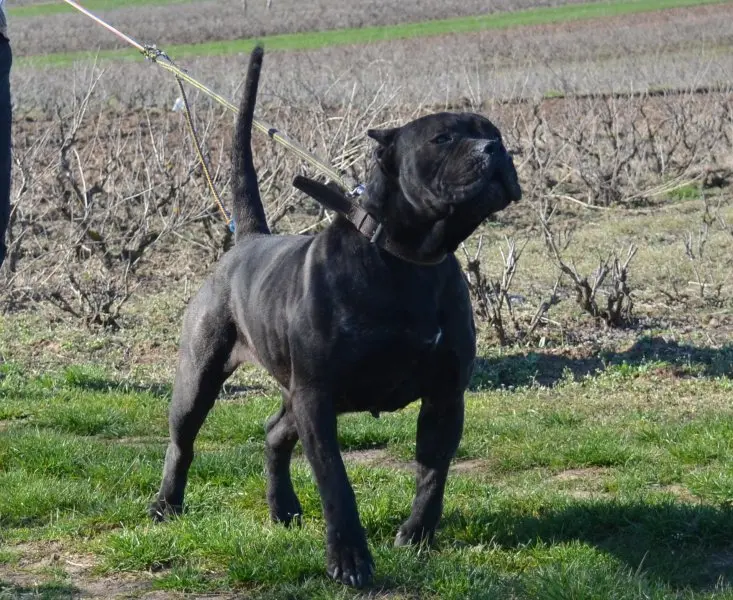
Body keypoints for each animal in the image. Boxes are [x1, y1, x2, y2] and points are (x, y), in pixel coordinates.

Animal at [149, 45, 516, 584]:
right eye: (443, 137)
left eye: (496, 133)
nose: (495, 151)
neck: (407, 259)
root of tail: (248, 239)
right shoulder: (318, 399)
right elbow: (337, 484)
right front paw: (350, 560)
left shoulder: (445, 396)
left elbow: (433, 473)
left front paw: (417, 536)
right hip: (202, 374)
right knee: (183, 440)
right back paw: (166, 504)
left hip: (293, 394)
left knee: (273, 434)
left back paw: (283, 508)